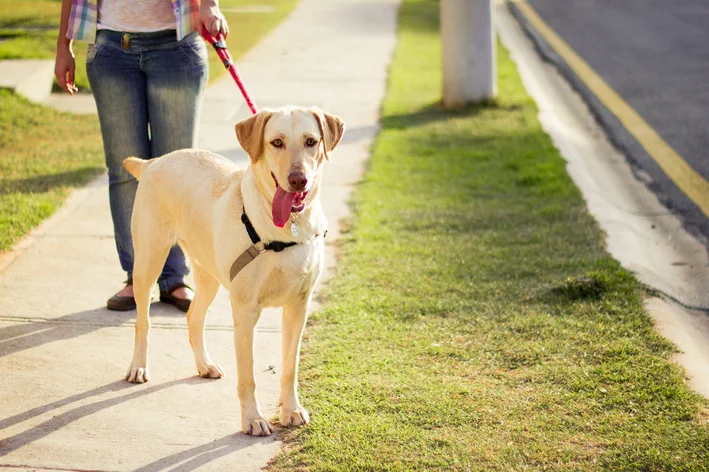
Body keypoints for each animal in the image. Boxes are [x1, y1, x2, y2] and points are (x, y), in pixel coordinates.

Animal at [121, 106, 342, 436]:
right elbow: (248, 375)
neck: (287, 227)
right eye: (277, 142)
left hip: (208, 274)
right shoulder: (246, 310)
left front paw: (291, 410)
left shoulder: (298, 307)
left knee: (194, 316)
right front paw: (252, 419)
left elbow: (290, 367)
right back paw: (138, 366)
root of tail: (154, 162)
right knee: (142, 321)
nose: (298, 180)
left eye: (311, 141)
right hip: (148, 262)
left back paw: (204, 365)